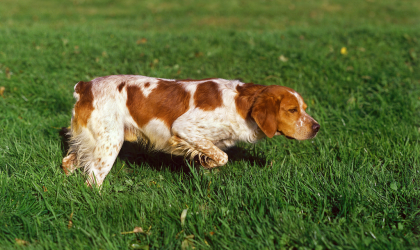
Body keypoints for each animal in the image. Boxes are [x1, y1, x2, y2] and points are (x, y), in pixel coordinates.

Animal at [61, 75, 318, 187]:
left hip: (90, 142)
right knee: (93, 178)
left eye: (304, 108)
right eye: (292, 110)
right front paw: (207, 163)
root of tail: (86, 86)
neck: (240, 104)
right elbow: (222, 157)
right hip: (110, 143)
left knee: (68, 162)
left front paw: (204, 164)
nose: (317, 127)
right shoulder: (185, 127)